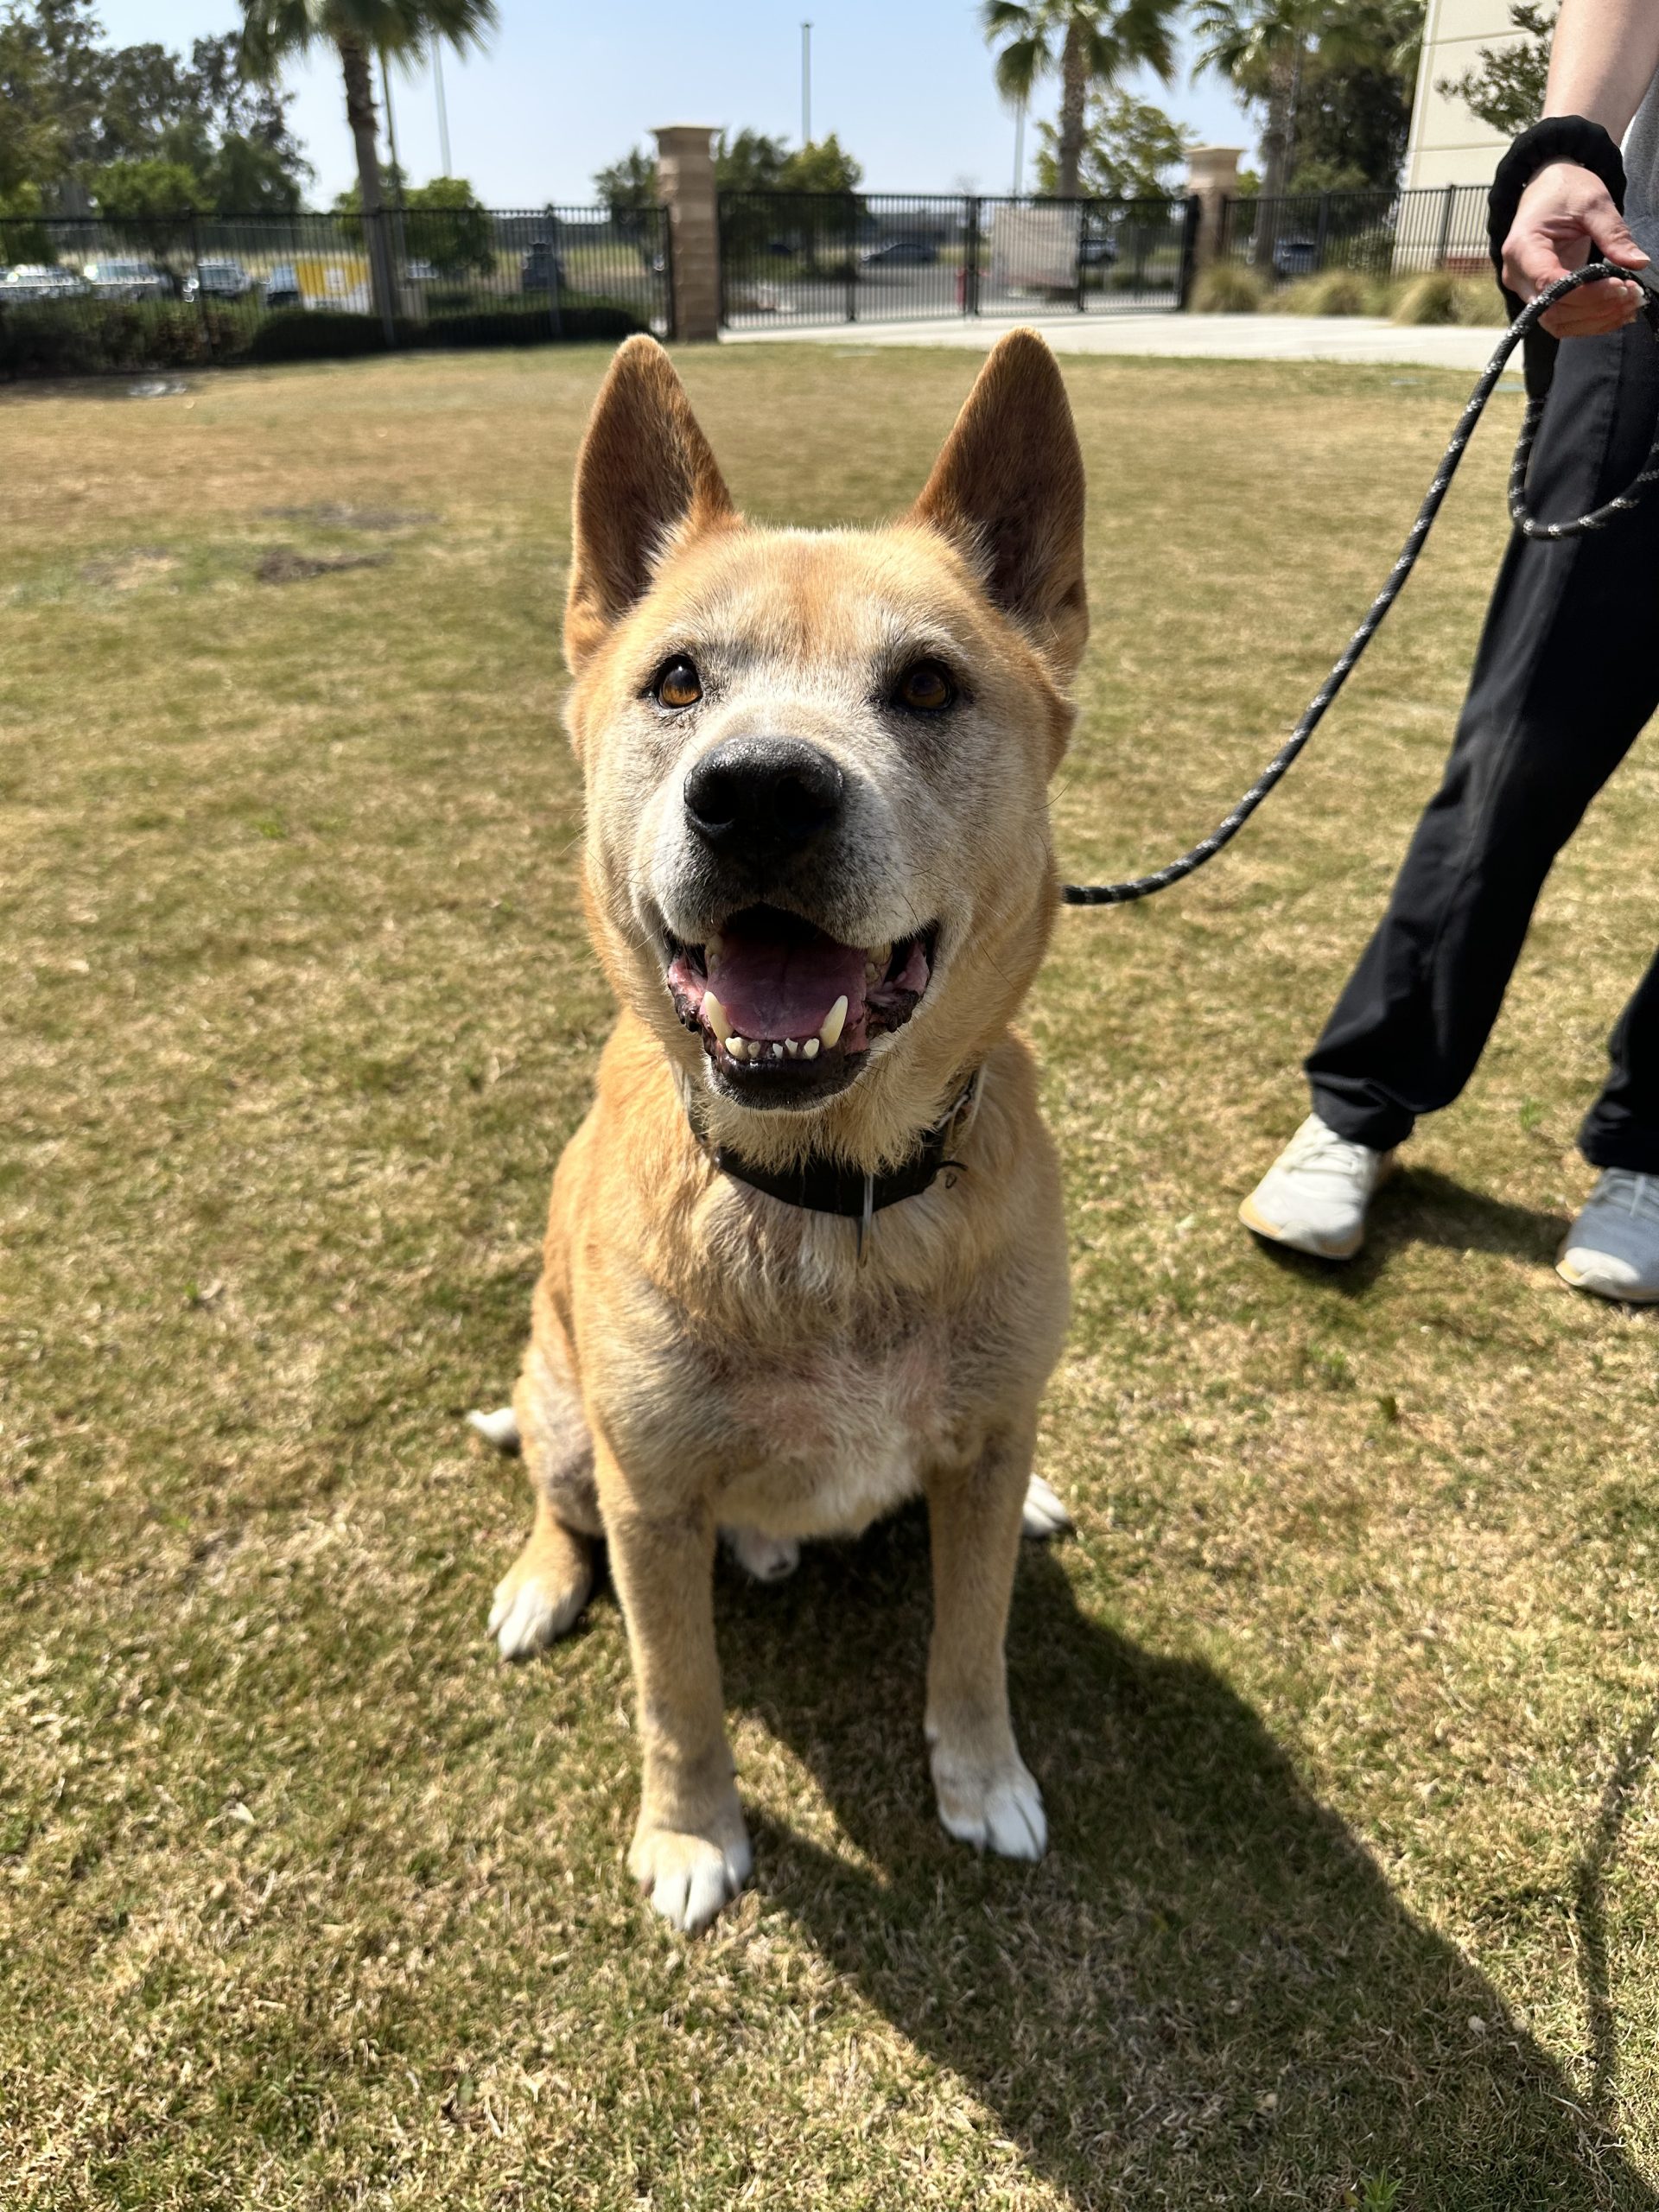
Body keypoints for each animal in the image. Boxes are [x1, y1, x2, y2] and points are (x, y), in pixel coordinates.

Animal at [480, 321, 1092, 1929]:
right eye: (677, 681)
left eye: (929, 687)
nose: (758, 795)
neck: (839, 1205)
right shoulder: (652, 1502)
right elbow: (676, 1693)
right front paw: (692, 1835)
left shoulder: (976, 1457)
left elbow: (972, 1639)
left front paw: (981, 1778)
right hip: (565, 1412)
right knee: (557, 1499)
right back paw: (539, 1579)